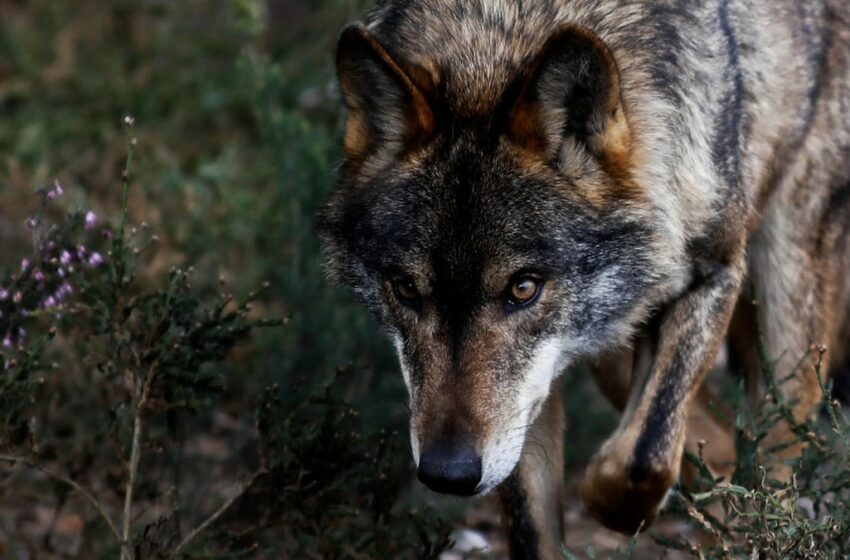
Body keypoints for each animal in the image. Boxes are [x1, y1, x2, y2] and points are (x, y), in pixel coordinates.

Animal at [316, 0, 848, 556]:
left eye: (523, 288)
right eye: (406, 290)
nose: (449, 473)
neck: (498, 40)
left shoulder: (712, 272)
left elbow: (636, 462)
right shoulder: (523, 408)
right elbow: (535, 528)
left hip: (787, 312)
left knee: (775, 446)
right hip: (614, 346)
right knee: (725, 440)